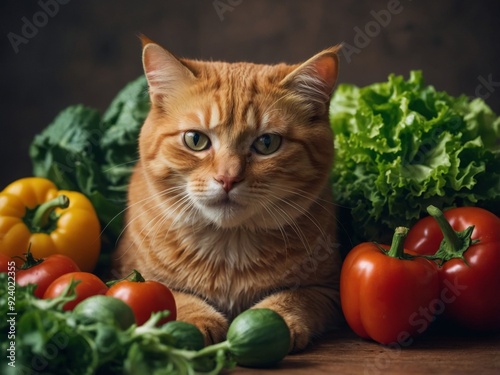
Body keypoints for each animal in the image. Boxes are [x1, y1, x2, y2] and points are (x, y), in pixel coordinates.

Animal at [111, 38, 342, 352]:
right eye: (196, 140)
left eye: (267, 143)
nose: (228, 178)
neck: (228, 246)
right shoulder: (124, 275)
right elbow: (172, 294)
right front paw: (198, 318)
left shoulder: (327, 289)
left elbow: (295, 297)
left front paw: (278, 320)